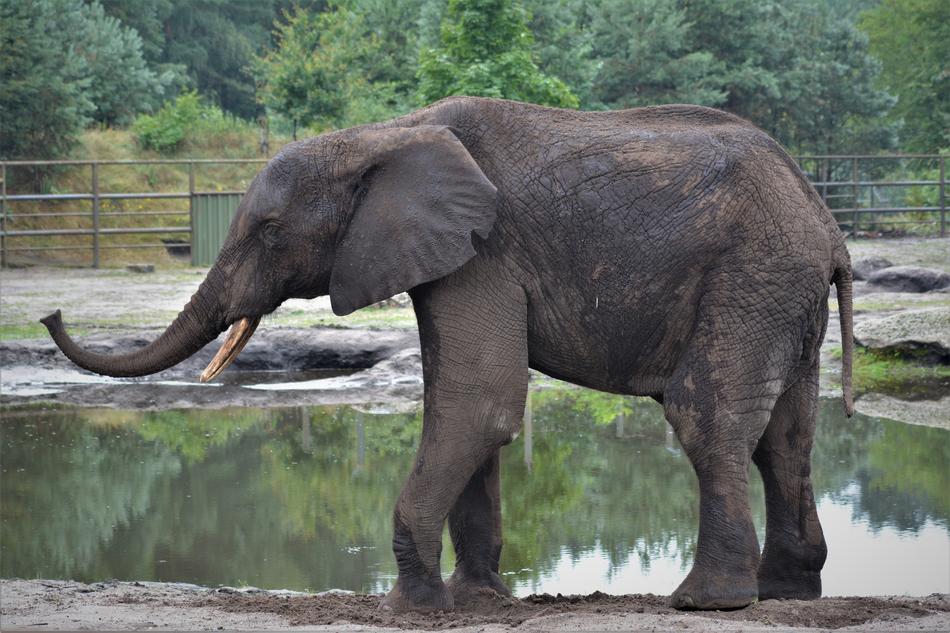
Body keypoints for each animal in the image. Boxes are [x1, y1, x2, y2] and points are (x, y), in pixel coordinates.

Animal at [42, 96, 854, 612]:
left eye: (269, 231)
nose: (49, 311)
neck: (380, 137)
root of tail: (829, 223)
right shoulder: (452, 255)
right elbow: (469, 410)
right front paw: (478, 600)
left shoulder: (483, 253)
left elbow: (478, 404)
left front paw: (409, 606)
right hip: (779, 290)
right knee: (786, 435)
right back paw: (785, 591)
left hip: (751, 274)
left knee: (705, 417)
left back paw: (706, 601)